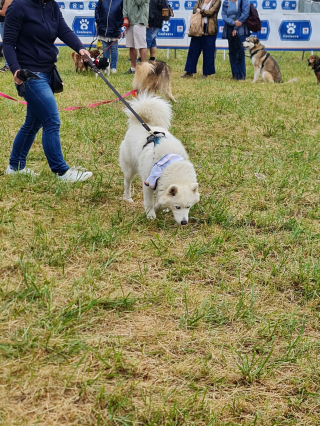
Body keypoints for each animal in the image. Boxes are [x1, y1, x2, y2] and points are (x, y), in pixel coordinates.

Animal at [119, 93, 200, 225]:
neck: (171, 166)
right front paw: (151, 214)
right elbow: (150, 202)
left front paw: (161, 208)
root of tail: (138, 123)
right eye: (177, 207)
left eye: (188, 206)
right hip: (130, 168)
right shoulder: (147, 183)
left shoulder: (159, 183)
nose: (184, 222)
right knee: (127, 182)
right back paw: (127, 197)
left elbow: (161, 200)